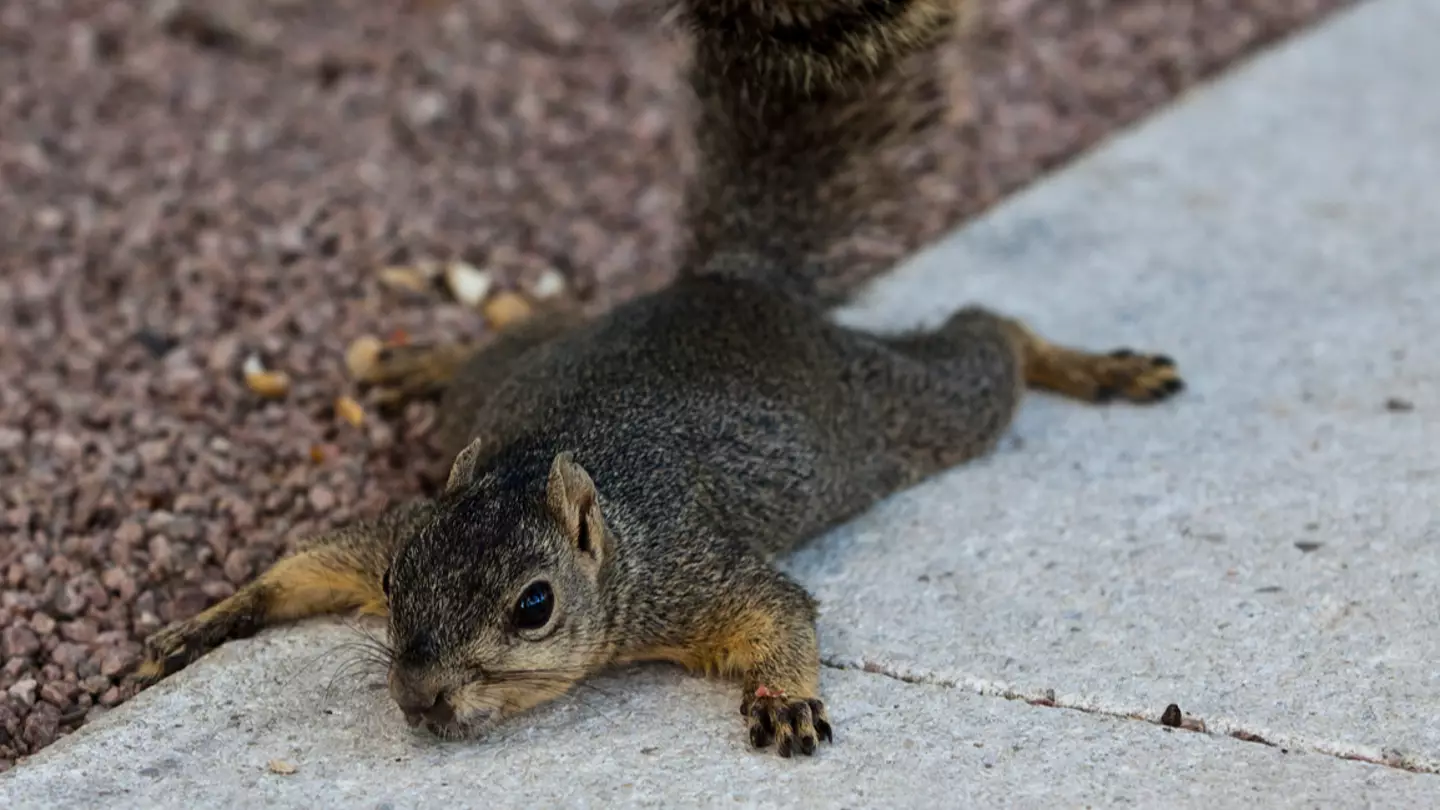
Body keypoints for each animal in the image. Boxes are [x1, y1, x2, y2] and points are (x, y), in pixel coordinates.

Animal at [132, 0, 1180, 755]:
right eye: (395, 580)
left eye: (535, 606)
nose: (421, 701)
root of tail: (729, 285)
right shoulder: (399, 521)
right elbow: (308, 563)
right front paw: (207, 622)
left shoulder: (694, 574)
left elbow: (780, 608)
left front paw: (787, 697)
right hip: (509, 374)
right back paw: (422, 359)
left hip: (904, 413)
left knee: (986, 341)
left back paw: (1090, 364)